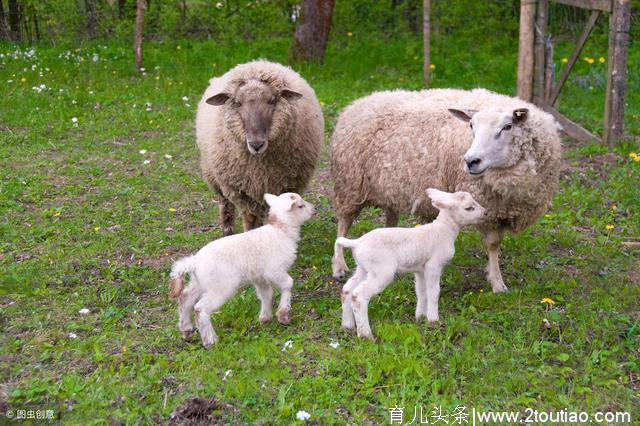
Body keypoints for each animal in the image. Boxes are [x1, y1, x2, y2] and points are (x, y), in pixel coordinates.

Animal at [168, 193, 312, 350]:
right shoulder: (274, 269)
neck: (280, 230)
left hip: (199, 282)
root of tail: (194, 262)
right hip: (220, 286)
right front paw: (283, 315)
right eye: (300, 206)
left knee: (185, 298)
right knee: (200, 308)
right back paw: (210, 340)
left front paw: (265, 318)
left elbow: (266, 294)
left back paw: (186, 330)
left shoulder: (259, 276)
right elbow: (288, 284)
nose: (314, 209)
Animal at [196, 59, 324, 236]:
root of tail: (256, 62)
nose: (256, 144)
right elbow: (250, 218)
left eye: (272, 100)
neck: (260, 168)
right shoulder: (241, 190)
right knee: (225, 203)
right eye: (238, 103)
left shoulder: (286, 184)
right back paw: (227, 230)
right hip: (215, 177)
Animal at [330, 86, 560, 292]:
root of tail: (358, 102)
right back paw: (339, 266)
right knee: (344, 223)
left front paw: (493, 275)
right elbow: (493, 243)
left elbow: (496, 244)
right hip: (350, 184)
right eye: (471, 126)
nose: (471, 161)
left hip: (390, 187)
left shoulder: (503, 207)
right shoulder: (485, 206)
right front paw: (497, 283)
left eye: (508, 126)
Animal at [338, 189, 482, 340]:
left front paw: (420, 316)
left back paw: (347, 325)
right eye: (469, 208)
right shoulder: (434, 265)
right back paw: (366, 335)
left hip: (364, 268)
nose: (485, 213)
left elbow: (421, 291)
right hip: (382, 271)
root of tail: (357, 242)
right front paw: (433, 320)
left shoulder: (420, 269)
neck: (444, 229)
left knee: (347, 289)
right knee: (358, 295)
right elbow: (434, 292)